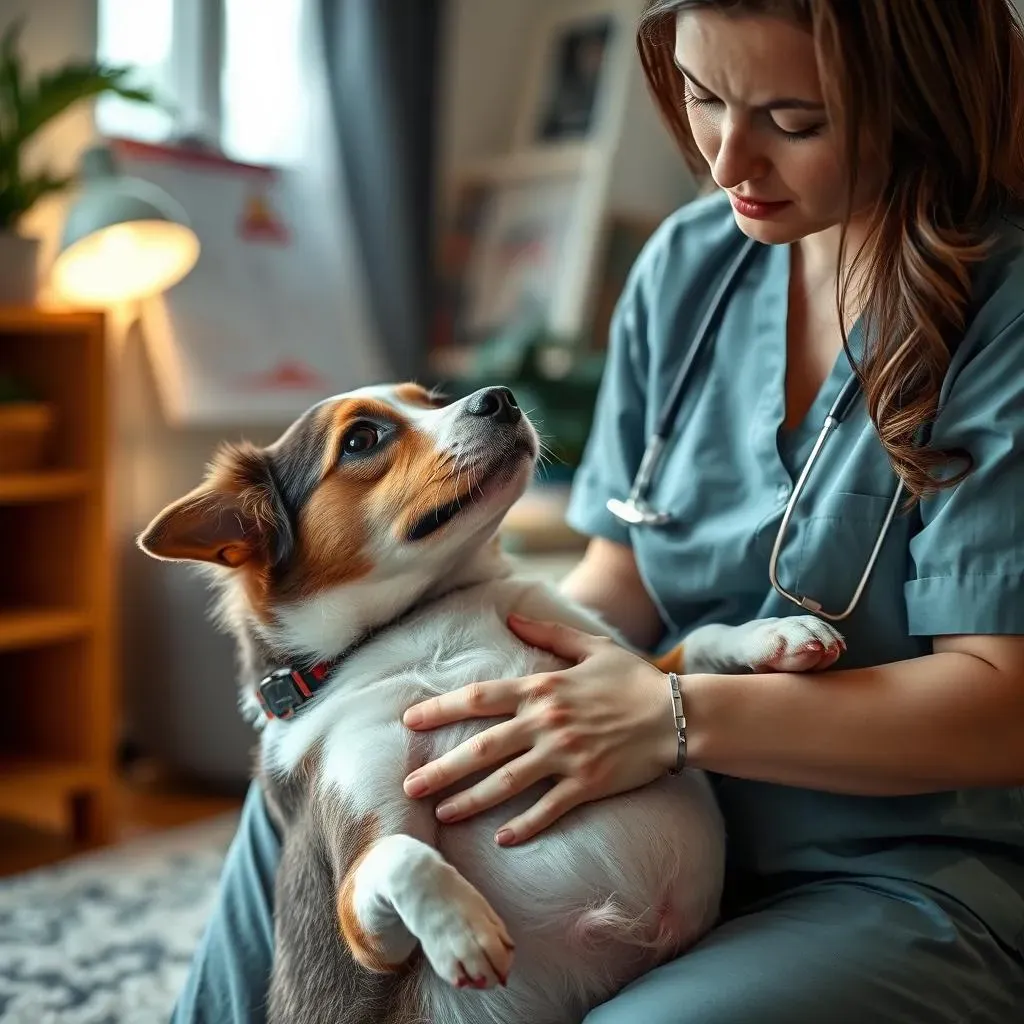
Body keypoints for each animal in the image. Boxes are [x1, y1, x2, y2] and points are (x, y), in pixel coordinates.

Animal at [138, 385, 839, 1024]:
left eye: (431, 397)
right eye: (361, 439)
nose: (499, 396)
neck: (430, 617)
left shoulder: (617, 667)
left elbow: (691, 647)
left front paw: (775, 634)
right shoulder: (366, 923)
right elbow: (402, 855)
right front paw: (458, 926)